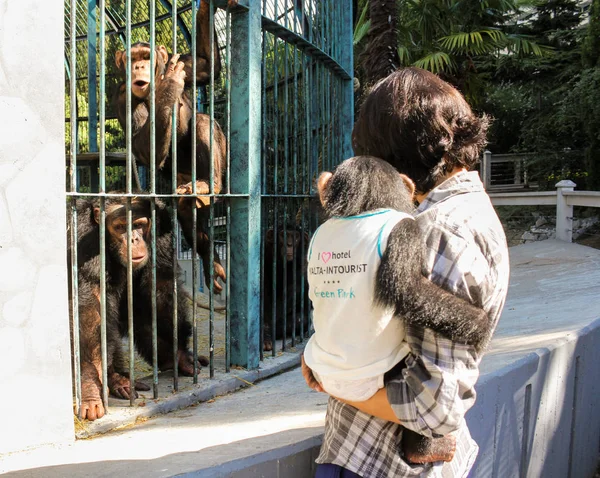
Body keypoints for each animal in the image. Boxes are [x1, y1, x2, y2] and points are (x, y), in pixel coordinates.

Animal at [69, 192, 206, 420]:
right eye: (120, 226)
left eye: (139, 224)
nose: (134, 239)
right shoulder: (83, 238)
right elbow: (91, 308)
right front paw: (89, 386)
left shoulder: (161, 226)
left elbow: (160, 282)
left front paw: (179, 355)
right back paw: (117, 380)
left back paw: (165, 361)